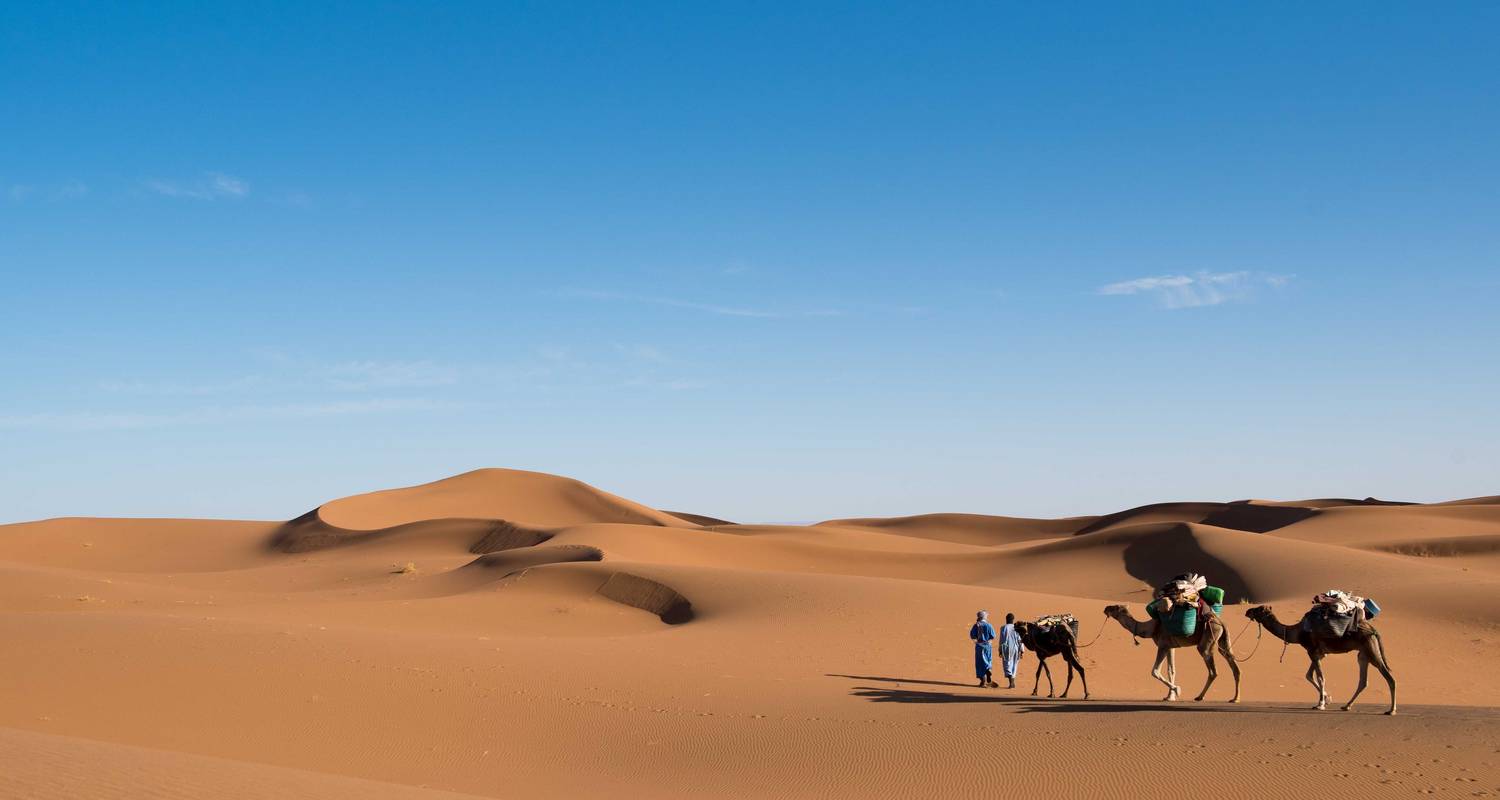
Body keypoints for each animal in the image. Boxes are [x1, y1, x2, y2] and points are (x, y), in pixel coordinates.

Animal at [1104, 603, 1242, 702]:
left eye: (1115, 607)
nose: (1105, 608)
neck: (1151, 629)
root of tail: (1221, 622)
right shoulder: (1171, 647)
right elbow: (1171, 670)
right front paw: (1170, 696)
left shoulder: (1163, 645)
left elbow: (1155, 671)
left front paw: (1177, 690)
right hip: (1223, 640)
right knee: (1234, 666)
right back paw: (1235, 698)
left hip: (1208, 639)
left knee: (1213, 670)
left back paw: (1200, 696)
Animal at [1242, 606, 1392, 711]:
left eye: (1258, 609)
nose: (1247, 611)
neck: (1296, 632)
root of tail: (1373, 630)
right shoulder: (1318, 653)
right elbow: (1309, 675)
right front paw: (1327, 698)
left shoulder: (1312, 651)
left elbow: (1320, 677)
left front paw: (1320, 704)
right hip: (1363, 653)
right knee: (1363, 681)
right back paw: (1346, 706)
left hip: (1371, 649)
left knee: (1388, 675)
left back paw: (1391, 710)